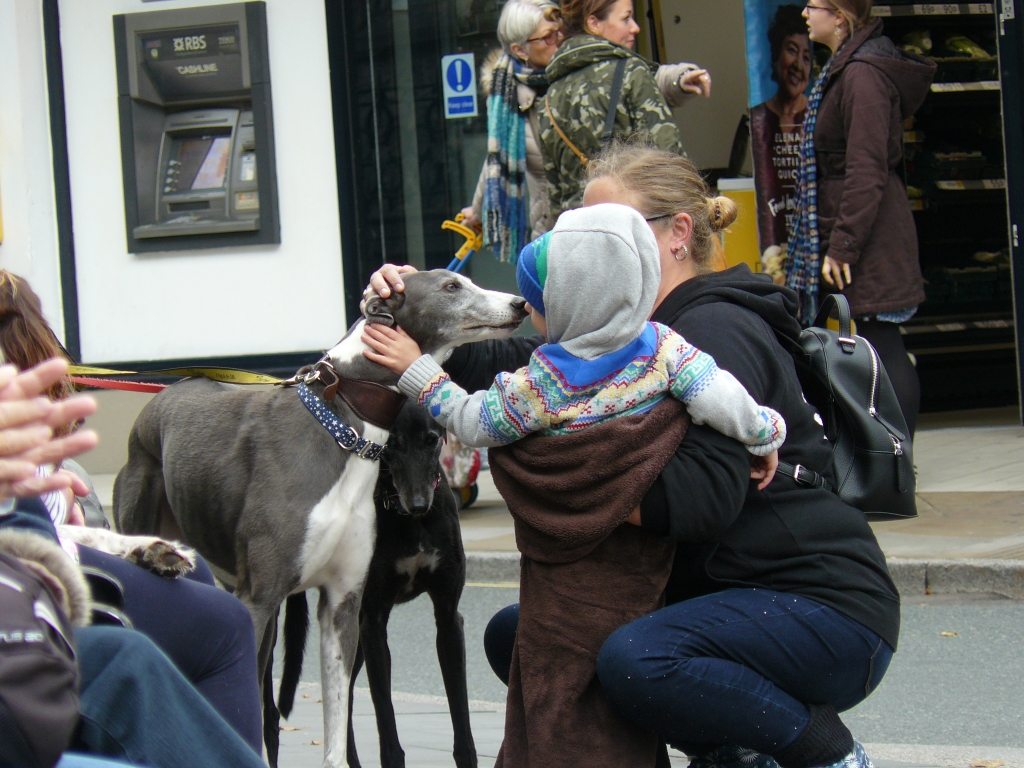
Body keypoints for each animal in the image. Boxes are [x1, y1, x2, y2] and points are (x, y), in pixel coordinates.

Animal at [272, 405, 479, 765]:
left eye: (432, 439)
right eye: (391, 444)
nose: (419, 504)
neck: (408, 521)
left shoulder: (449, 618)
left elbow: (461, 717)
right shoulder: (373, 624)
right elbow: (385, 718)